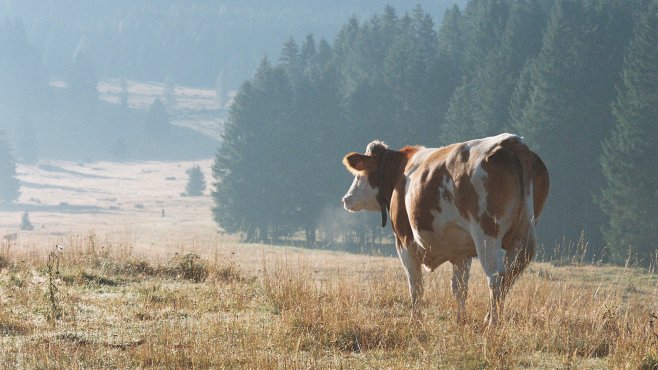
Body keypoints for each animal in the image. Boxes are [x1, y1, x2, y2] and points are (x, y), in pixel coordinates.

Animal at [340, 133, 544, 326]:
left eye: (359, 174)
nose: (346, 198)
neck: (400, 171)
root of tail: (512, 142)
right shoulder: (462, 251)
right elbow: (460, 288)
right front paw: (460, 320)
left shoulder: (404, 241)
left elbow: (416, 285)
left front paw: (415, 321)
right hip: (521, 236)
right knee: (509, 276)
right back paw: (490, 317)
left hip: (487, 234)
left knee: (496, 277)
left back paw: (493, 322)